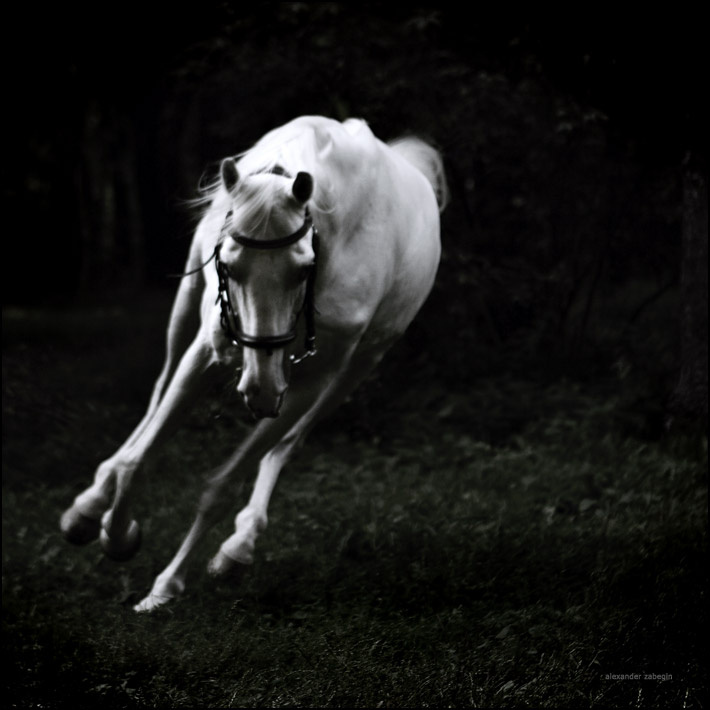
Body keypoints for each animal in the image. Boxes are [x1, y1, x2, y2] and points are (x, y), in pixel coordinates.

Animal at [59, 116, 448, 612]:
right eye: (228, 263)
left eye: (304, 269)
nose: (261, 389)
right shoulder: (207, 352)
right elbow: (140, 459)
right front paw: (117, 534)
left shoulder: (309, 381)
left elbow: (223, 485)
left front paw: (166, 585)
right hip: (185, 308)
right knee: (155, 398)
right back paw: (88, 507)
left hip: (354, 371)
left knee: (287, 443)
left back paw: (238, 546)